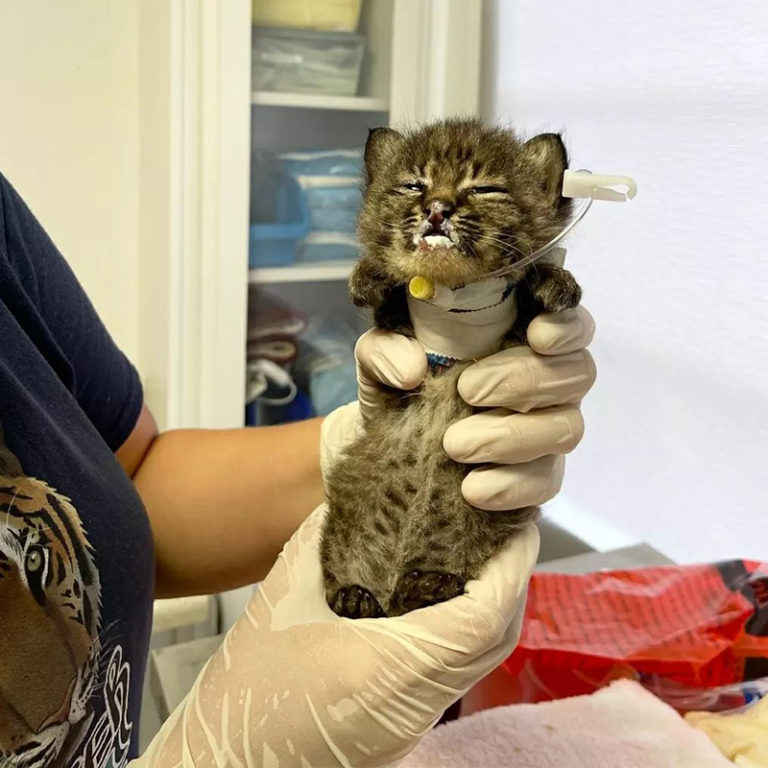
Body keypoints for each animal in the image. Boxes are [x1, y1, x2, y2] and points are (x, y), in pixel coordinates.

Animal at [320, 118, 580, 616]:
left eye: (484, 188)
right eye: (413, 185)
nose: (437, 209)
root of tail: (389, 596)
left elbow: (530, 295)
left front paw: (556, 281)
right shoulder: (398, 333)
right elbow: (388, 303)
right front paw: (370, 275)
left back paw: (427, 584)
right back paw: (353, 595)